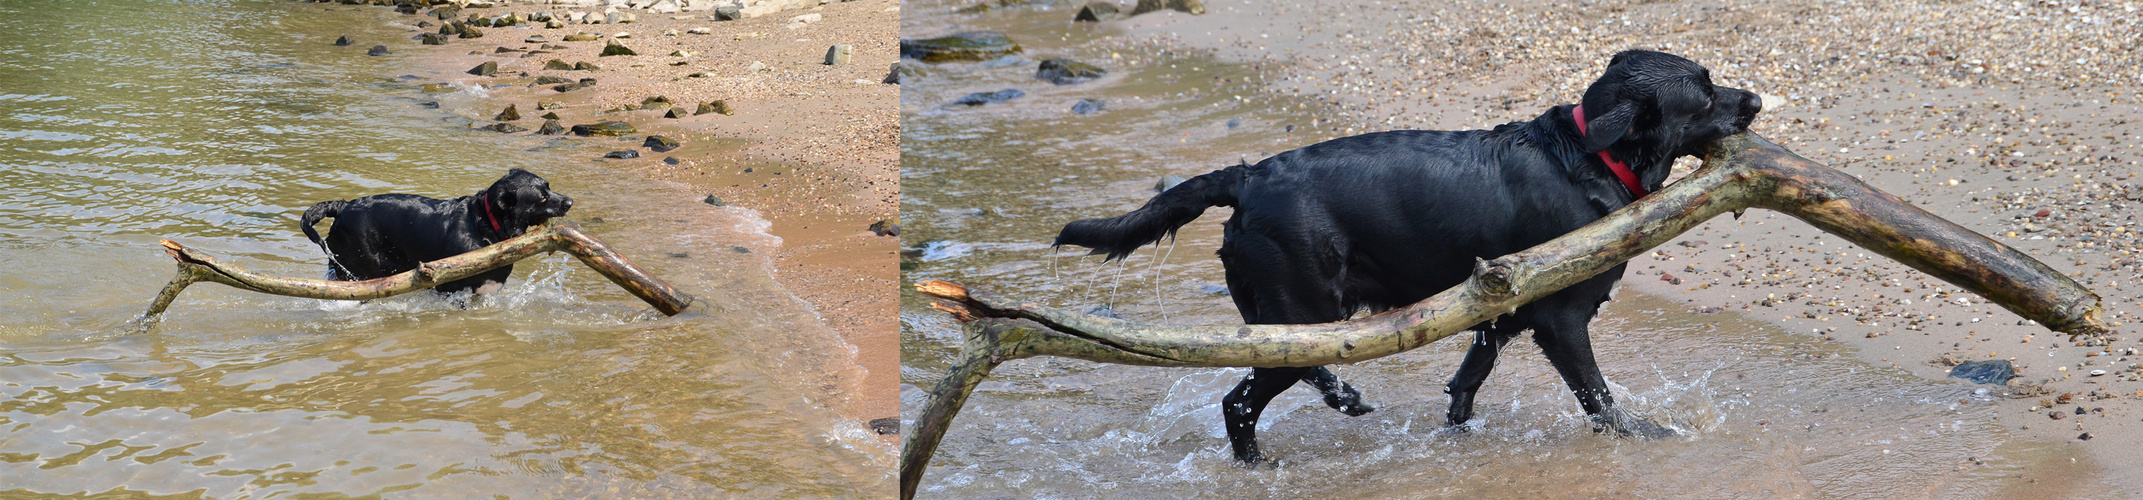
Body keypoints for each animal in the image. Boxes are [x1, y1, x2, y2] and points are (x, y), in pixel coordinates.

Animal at [297, 168, 578, 296]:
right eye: (542, 198)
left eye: (549, 187)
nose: (570, 201)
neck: (486, 226)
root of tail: (343, 206)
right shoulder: (449, 289)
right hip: (359, 270)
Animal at [1050, 50, 1757, 465]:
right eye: (1705, 91)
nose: (1754, 100)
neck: (1590, 155)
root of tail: (1247, 177)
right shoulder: (1560, 319)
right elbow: (1598, 395)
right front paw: (1645, 434)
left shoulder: (1502, 303)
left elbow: (1470, 375)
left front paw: (1458, 428)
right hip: (1301, 304)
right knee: (1242, 400)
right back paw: (1264, 460)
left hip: (1286, 309)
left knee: (1289, 371)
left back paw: (1342, 400)